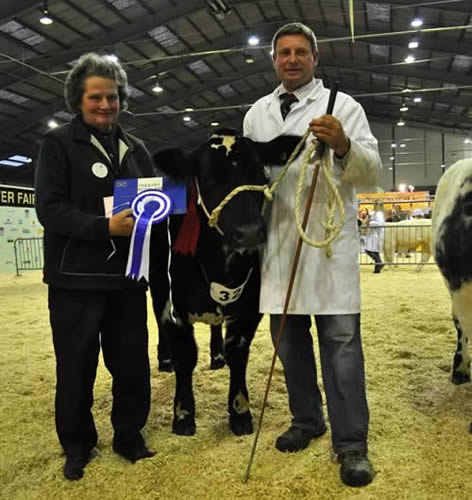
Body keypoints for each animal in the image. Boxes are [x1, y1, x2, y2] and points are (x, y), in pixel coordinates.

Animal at [149, 130, 300, 438]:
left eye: (261, 175)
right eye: (207, 178)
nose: (250, 232)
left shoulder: (250, 307)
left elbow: (238, 354)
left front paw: (240, 412)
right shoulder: (173, 306)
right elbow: (185, 356)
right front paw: (183, 415)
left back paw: (217, 356)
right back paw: (165, 360)